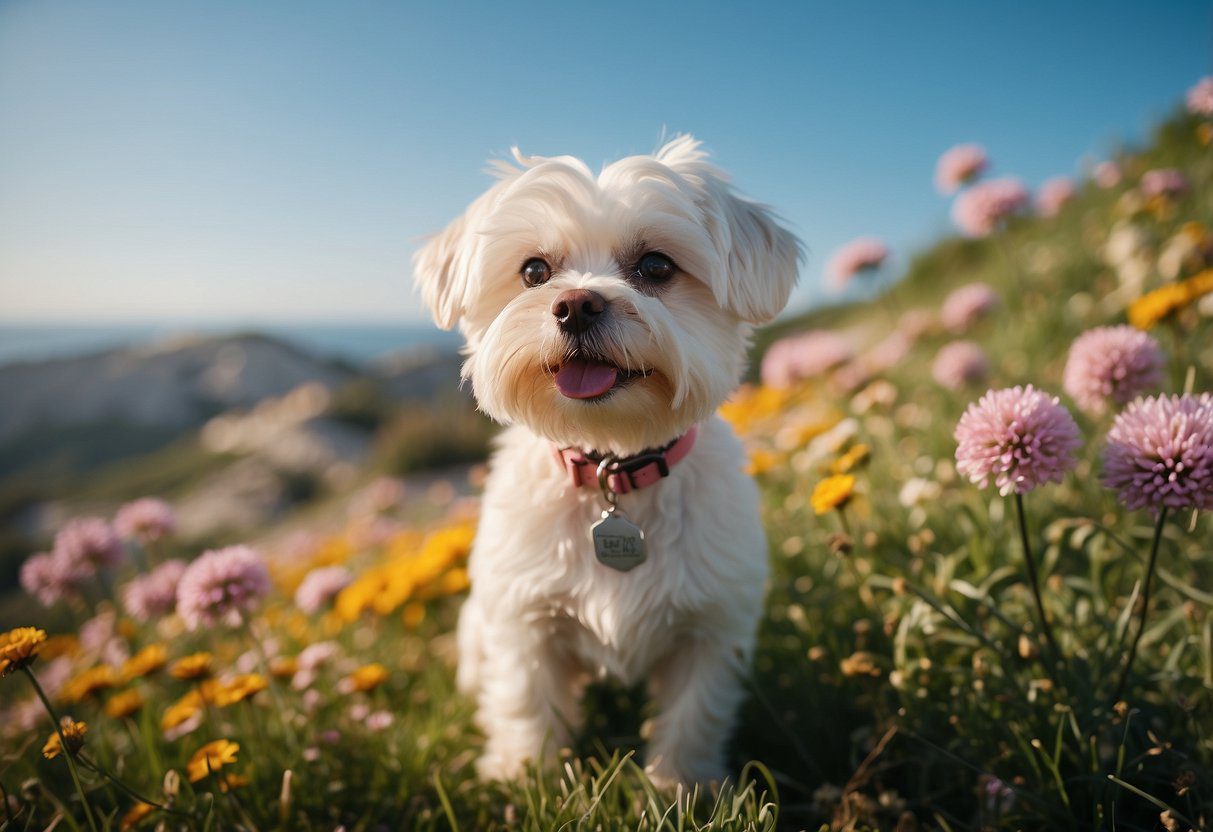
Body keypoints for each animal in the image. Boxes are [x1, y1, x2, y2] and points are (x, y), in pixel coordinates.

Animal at [412, 137, 800, 790]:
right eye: (534, 271)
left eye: (657, 267)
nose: (576, 304)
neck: (611, 466)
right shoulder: (523, 618)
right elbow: (526, 702)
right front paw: (525, 778)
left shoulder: (714, 626)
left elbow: (694, 714)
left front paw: (681, 788)